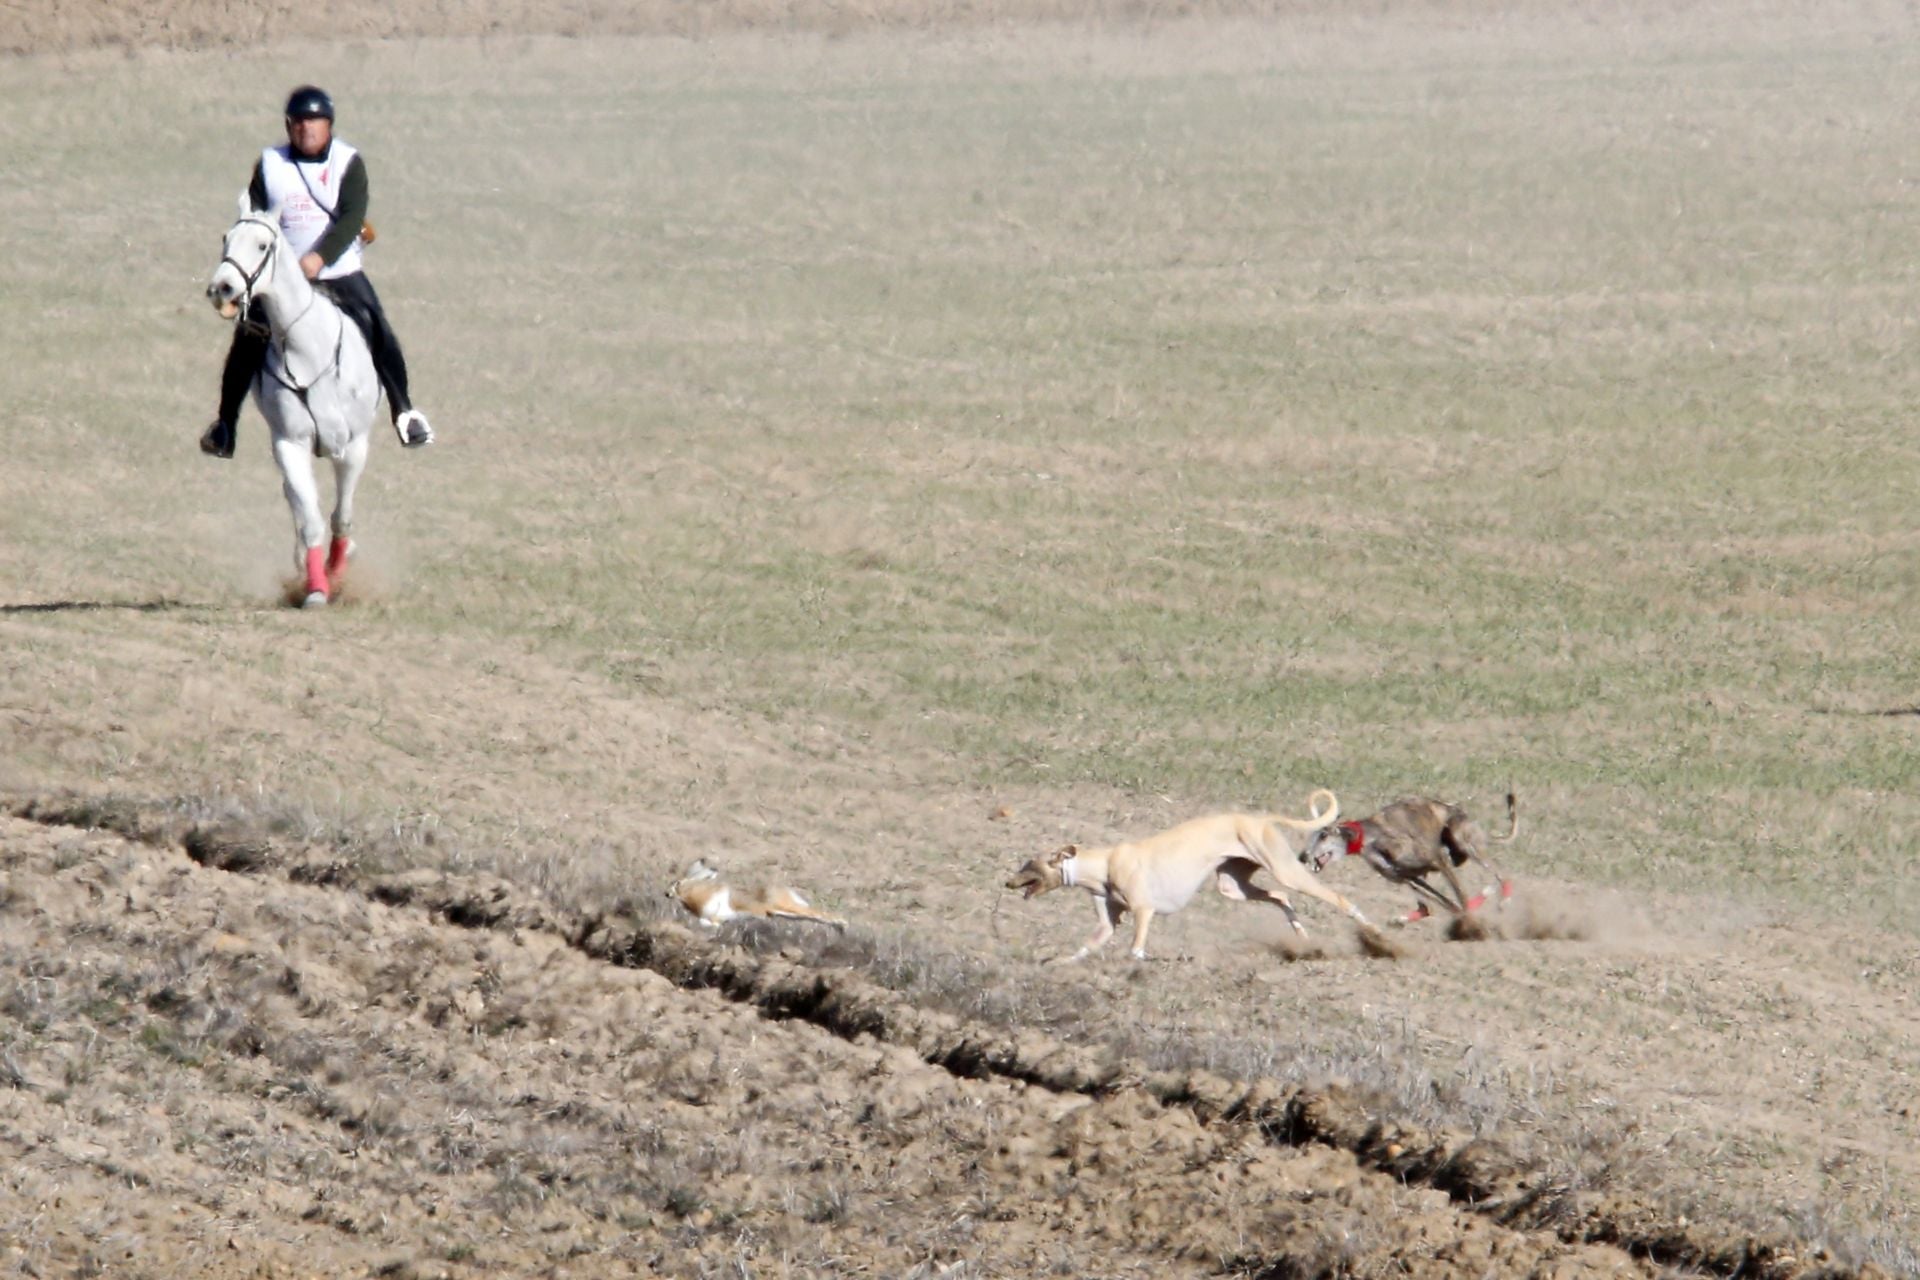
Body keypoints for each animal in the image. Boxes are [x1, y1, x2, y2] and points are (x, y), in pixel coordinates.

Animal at [206, 198, 378, 610]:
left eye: (262, 246)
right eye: (226, 238)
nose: (222, 288)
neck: (307, 350)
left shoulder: (353, 447)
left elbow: (341, 517)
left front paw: (336, 572)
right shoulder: (290, 444)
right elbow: (310, 518)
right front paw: (316, 587)